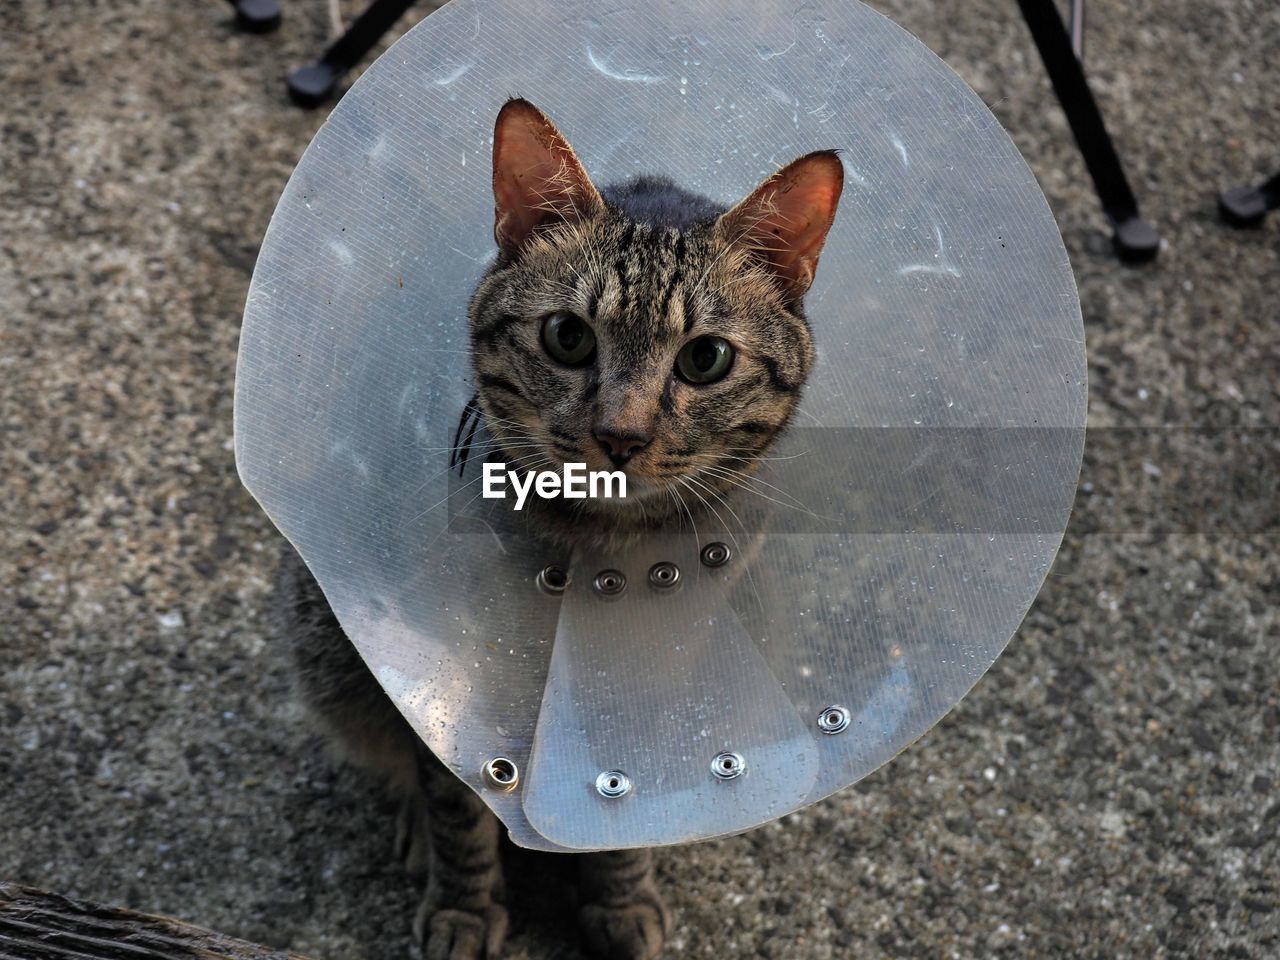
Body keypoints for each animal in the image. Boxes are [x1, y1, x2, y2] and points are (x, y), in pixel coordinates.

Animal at [275, 99, 844, 960]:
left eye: (706, 358)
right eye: (568, 337)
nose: (621, 436)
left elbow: (617, 788)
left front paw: (619, 890)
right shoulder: (462, 665)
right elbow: (458, 802)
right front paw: (465, 908)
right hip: (329, 643)